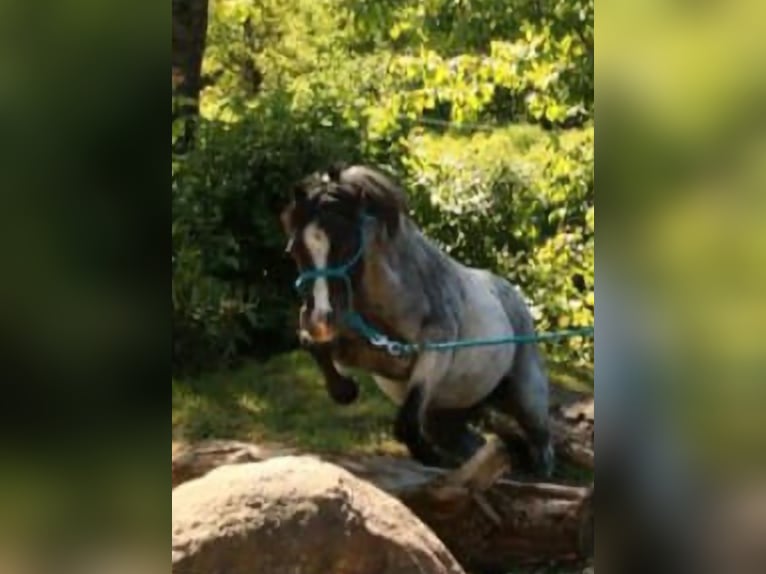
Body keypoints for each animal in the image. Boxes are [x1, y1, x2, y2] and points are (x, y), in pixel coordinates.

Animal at [280, 162, 554, 476]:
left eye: (348, 244)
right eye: (294, 249)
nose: (320, 319)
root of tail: (514, 296)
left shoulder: (434, 351)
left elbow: (407, 425)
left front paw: (433, 459)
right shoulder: (368, 354)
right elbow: (315, 346)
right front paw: (345, 390)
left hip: (527, 396)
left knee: (541, 444)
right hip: (449, 413)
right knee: (473, 442)